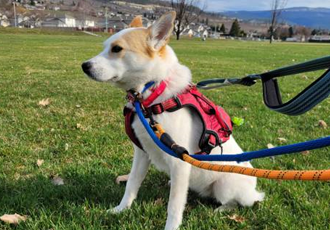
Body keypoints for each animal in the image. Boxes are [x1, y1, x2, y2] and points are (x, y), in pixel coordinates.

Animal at [81, 12, 264, 230]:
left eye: (117, 49)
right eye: (105, 46)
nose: (84, 66)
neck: (151, 94)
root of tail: (254, 190)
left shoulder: (179, 162)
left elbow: (174, 206)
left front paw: (171, 227)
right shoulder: (142, 153)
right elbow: (132, 184)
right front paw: (121, 209)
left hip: (225, 186)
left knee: (239, 202)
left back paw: (222, 209)